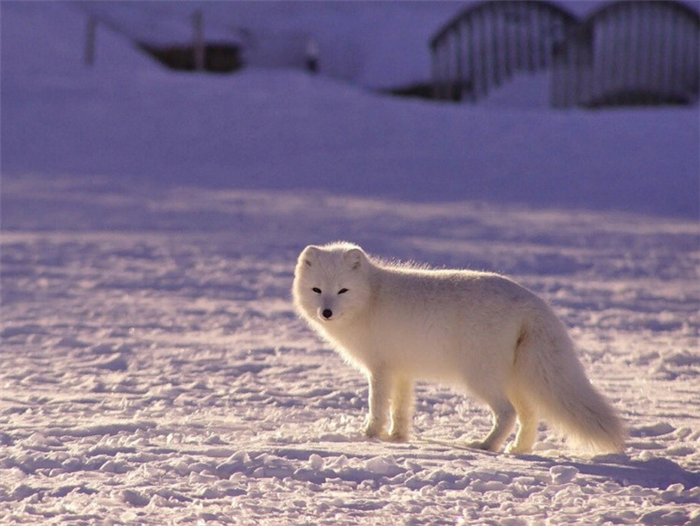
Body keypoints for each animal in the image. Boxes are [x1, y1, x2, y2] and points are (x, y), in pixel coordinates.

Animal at [292, 241, 628, 456]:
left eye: (343, 290)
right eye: (317, 290)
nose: (326, 312)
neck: (372, 297)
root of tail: (533, 303)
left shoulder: (380, 369)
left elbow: (377, 406)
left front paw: (369, 436)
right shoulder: (402, 370)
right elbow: (401, 409)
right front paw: (398, 438)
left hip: (480, 377)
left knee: (507, 413)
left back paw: (486, 446)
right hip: (516, 379)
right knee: (529, 415)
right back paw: (519, 449)